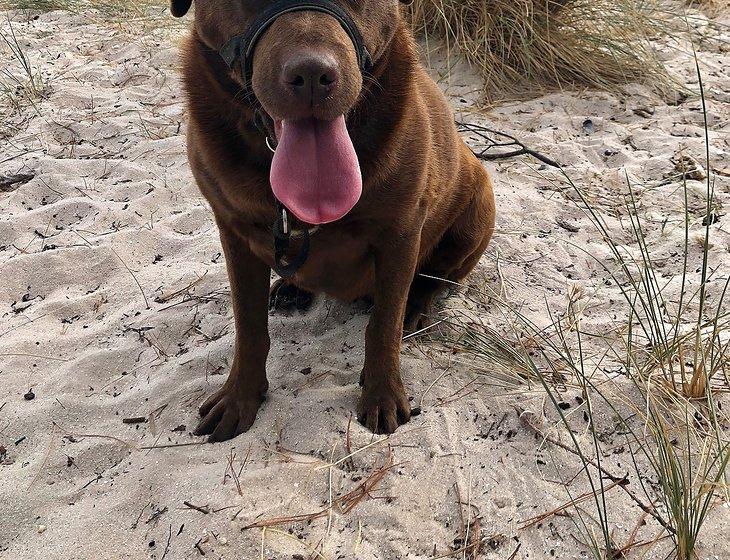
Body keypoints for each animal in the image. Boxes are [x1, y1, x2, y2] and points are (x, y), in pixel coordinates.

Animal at [169, 0, 494, 442]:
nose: (312, 77)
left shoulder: (401, 233)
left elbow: (384, 327)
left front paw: (381, 393)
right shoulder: (232, 233)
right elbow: (248, 327)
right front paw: (240, 396)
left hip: (478, 206)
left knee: (437, 279)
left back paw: (418, 305)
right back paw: (291, 288)